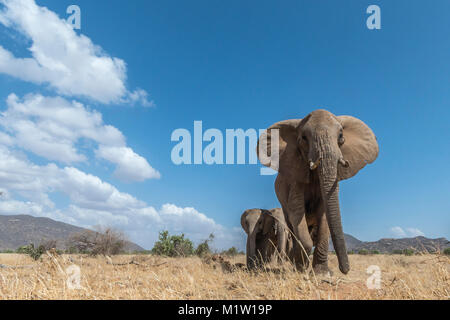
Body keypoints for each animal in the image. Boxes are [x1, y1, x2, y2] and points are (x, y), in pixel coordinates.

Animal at [256, 109, 376, 274]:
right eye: (304, 138)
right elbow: (297, 214)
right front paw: (301, 267)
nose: (345, 269)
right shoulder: (295, 178)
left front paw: (322, 273)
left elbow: (324, 214)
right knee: (292, 225)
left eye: (341, 136)